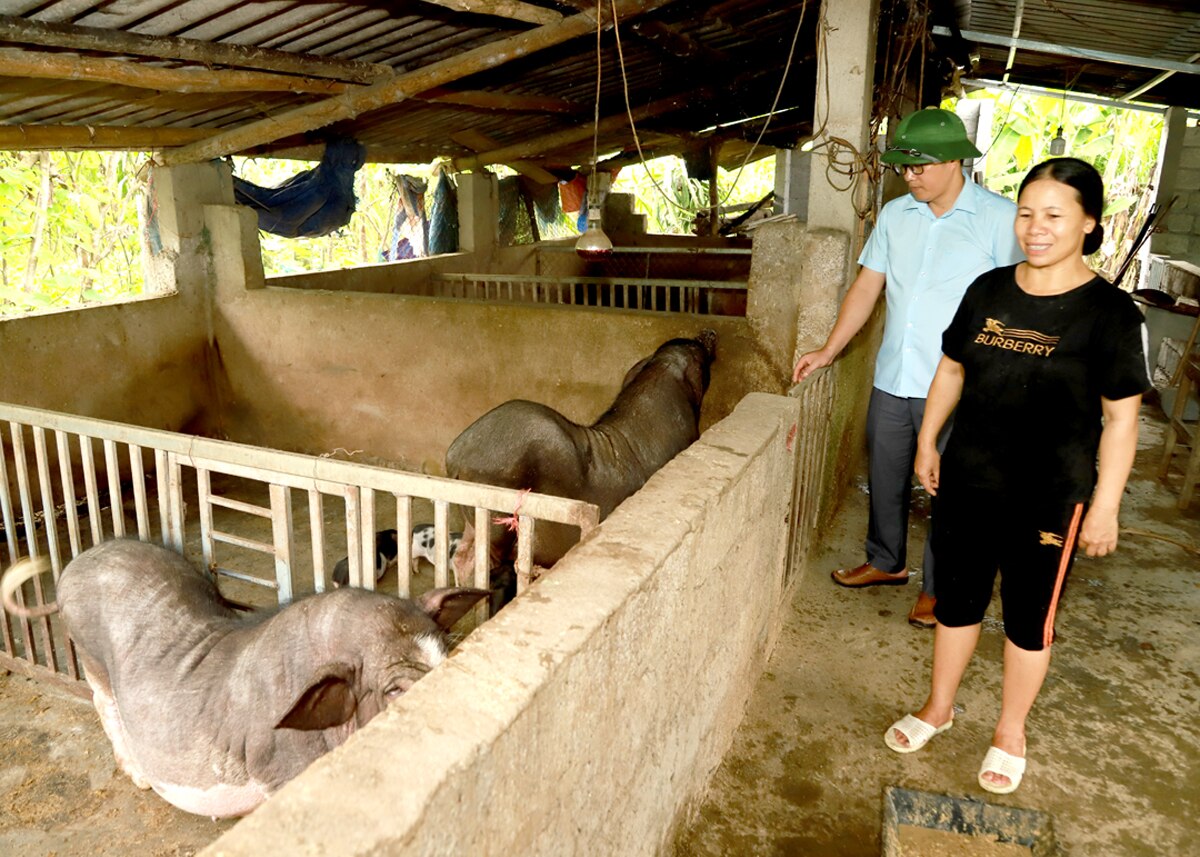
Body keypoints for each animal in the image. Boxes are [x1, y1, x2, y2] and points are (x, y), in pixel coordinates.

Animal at [1, 540, 487, 816]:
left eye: (446, 655)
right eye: (395, 691)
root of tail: (76, 564)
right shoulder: (279, 768)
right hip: (90, 653)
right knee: (104, 705)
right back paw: (138, 777)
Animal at [448, 326, 710, 580]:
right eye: (696, 354)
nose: (707, 332)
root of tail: (456, 454)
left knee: (461, 557)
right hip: (496, 515)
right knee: (481, 561)